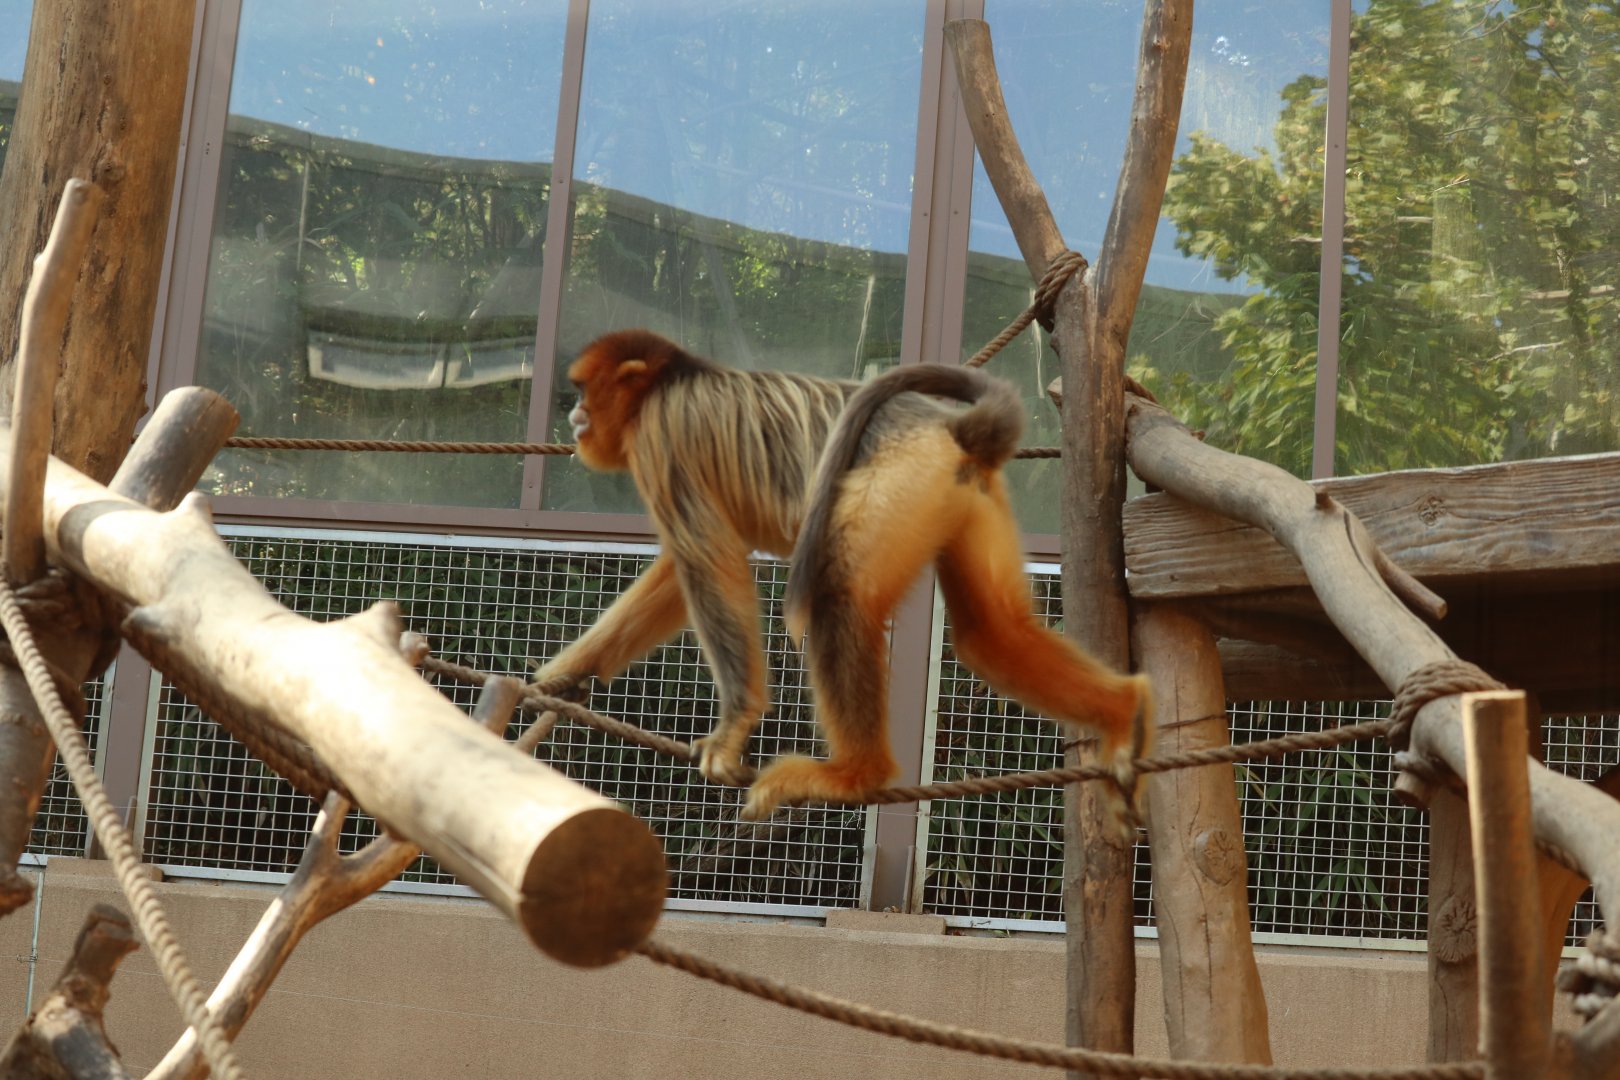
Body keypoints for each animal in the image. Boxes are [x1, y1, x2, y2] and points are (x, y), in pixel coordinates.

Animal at [536, 328, 1151, 821]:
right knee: (992, 633)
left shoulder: (662, 440)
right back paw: (1121, 711)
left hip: (903, 475)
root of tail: (950, 426)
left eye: (584, 394)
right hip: (961, 492)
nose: (573, 417)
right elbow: (681, 571)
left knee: (839, 599)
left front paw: (734, 729)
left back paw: (855, 775)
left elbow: (710, 561)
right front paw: (564, 675)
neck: (673, 381)